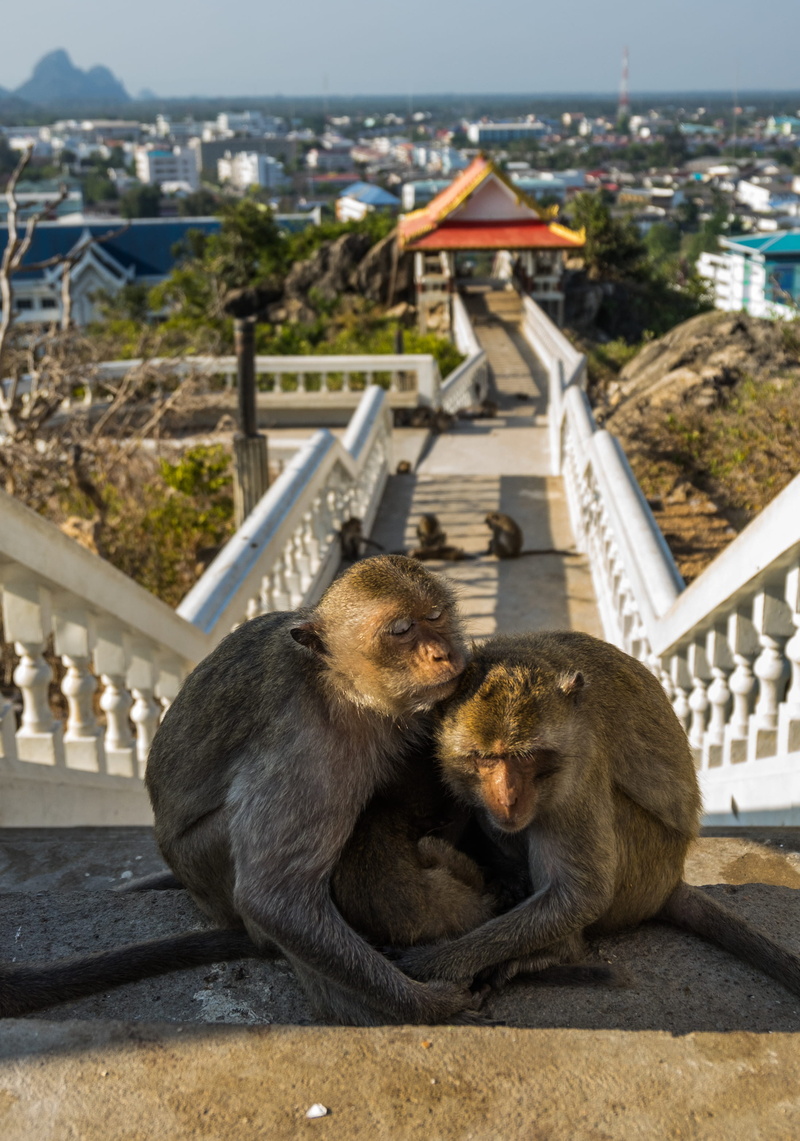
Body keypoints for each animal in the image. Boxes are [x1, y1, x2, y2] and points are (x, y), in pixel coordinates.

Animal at [0, 557, 482, 1027]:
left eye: (435, 616)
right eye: (401, 630)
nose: (443, 652)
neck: (340, 684)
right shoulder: (304, 741)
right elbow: (273, 898)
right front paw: (428, 1004)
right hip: (204, 860)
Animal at [394, 631, 800, 1001]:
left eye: (526, 756)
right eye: (484, 758)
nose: (508, 797)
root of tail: (670, 882)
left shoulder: (580, 767)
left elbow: (583, 895)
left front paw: (435, 962)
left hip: (643, 871)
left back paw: (557, 952)